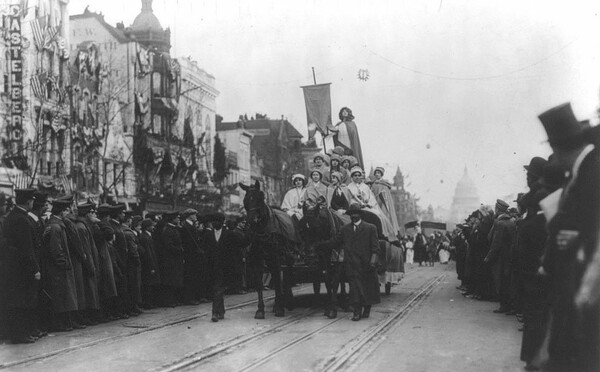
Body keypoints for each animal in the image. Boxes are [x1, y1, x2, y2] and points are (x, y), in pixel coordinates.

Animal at [237, 181, 298, 320]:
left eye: (260, 198)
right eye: (246, 200)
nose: (251, 221)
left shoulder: (276, 257)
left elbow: (278, 280)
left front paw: (280, 308)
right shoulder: (257, 259)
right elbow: (260, 283)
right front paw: (260, 310)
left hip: (288, 257)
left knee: (287, 275)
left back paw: (288, 300)